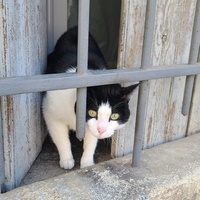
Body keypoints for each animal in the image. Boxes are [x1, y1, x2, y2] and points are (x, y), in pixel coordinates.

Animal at [42, 26, 138, 169]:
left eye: (114, 116)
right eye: (92, 112)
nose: (101, 130)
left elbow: (91, 141)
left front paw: (86, 163)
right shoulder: (50, 111)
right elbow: (61, 138)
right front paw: (67, 159)